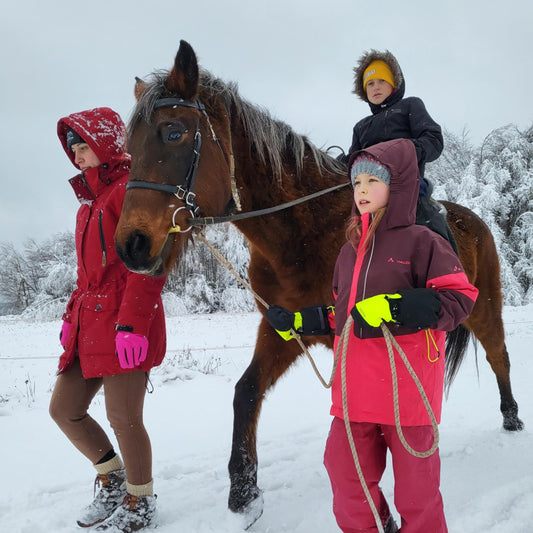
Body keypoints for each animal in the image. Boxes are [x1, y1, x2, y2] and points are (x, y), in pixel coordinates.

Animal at [113, 39, 524, 520]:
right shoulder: (285, 325)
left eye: (174, 132)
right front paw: (244, 487)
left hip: (485, 307)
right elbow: (246, 391)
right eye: (130, 145)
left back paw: (511, 417)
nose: (131, 245)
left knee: (499, 358)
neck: (304, 231)